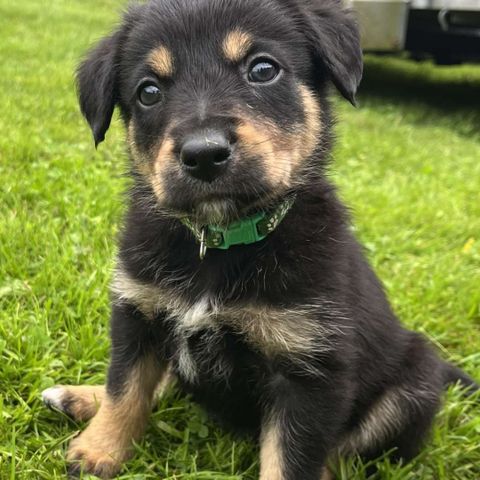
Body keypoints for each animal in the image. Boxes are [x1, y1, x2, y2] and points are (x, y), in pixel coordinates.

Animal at [43, 0, 478, 480]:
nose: (204, 154)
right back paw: (80, 398)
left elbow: (292, 458)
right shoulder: (138, 310)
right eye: (148, 92)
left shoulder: (310, 369)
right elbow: (126, 387)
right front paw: (99, 450)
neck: (220, 241)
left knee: (346, 447)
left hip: (411, 386)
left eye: (263, 69)